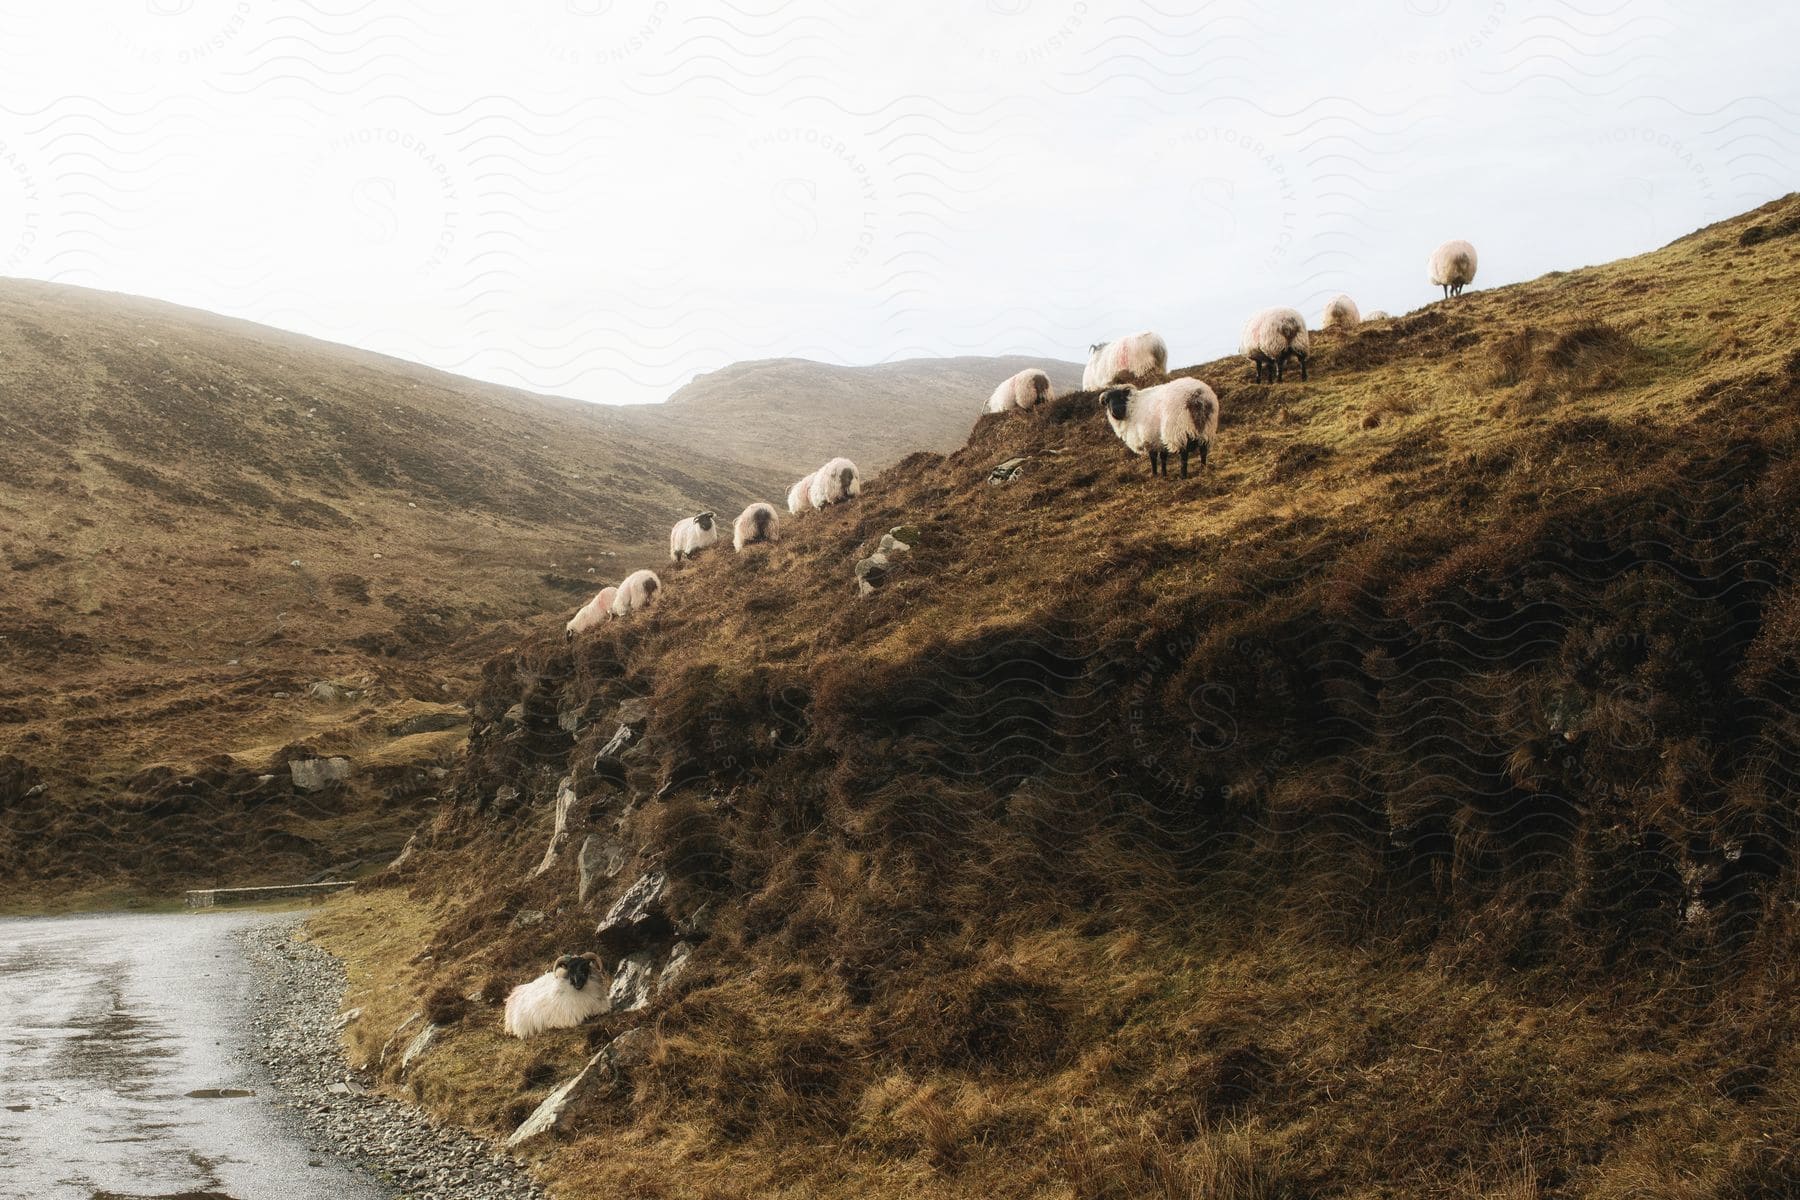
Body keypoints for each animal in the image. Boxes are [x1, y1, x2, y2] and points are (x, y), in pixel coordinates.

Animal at [1094, 383, 1224, 482]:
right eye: (1107, 401)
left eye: (1121, 397)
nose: (1116, 411)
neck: (1131, 407)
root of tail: (1198, 396)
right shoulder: (1158, 439)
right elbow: (1163, 457)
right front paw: (1164, 474)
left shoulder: (1149, 438)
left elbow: (1153, 458)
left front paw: (1155, 474)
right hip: (1207, 428)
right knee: (1203, 450)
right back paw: (1203, 468)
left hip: (1178, 430)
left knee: (1184, 454)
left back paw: (1183, 475)